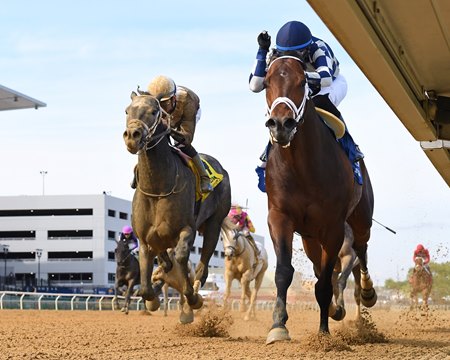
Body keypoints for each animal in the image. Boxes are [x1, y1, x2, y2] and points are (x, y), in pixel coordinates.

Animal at [122, 92, 232, 324]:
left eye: (154, 111)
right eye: (127, 110)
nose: (132, 136)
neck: (158, 187)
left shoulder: (187, 229)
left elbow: (181, 258)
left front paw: (192, 299)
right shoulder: (145, 239)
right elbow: (146, 285)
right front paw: (153, 297)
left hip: (213, 225)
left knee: (201, 268)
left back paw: (191, 302)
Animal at [262, 55, 378, 344]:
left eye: (302, 81)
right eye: (267, 82)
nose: (281, 124)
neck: (301, 167)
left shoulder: (333, 227)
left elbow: (326, 283)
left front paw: (324, 333)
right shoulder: (280, 216)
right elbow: (284, 271)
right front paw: (278, 326)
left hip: (361, 219)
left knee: (361, 249)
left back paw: (367, 292)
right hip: (309, 238)